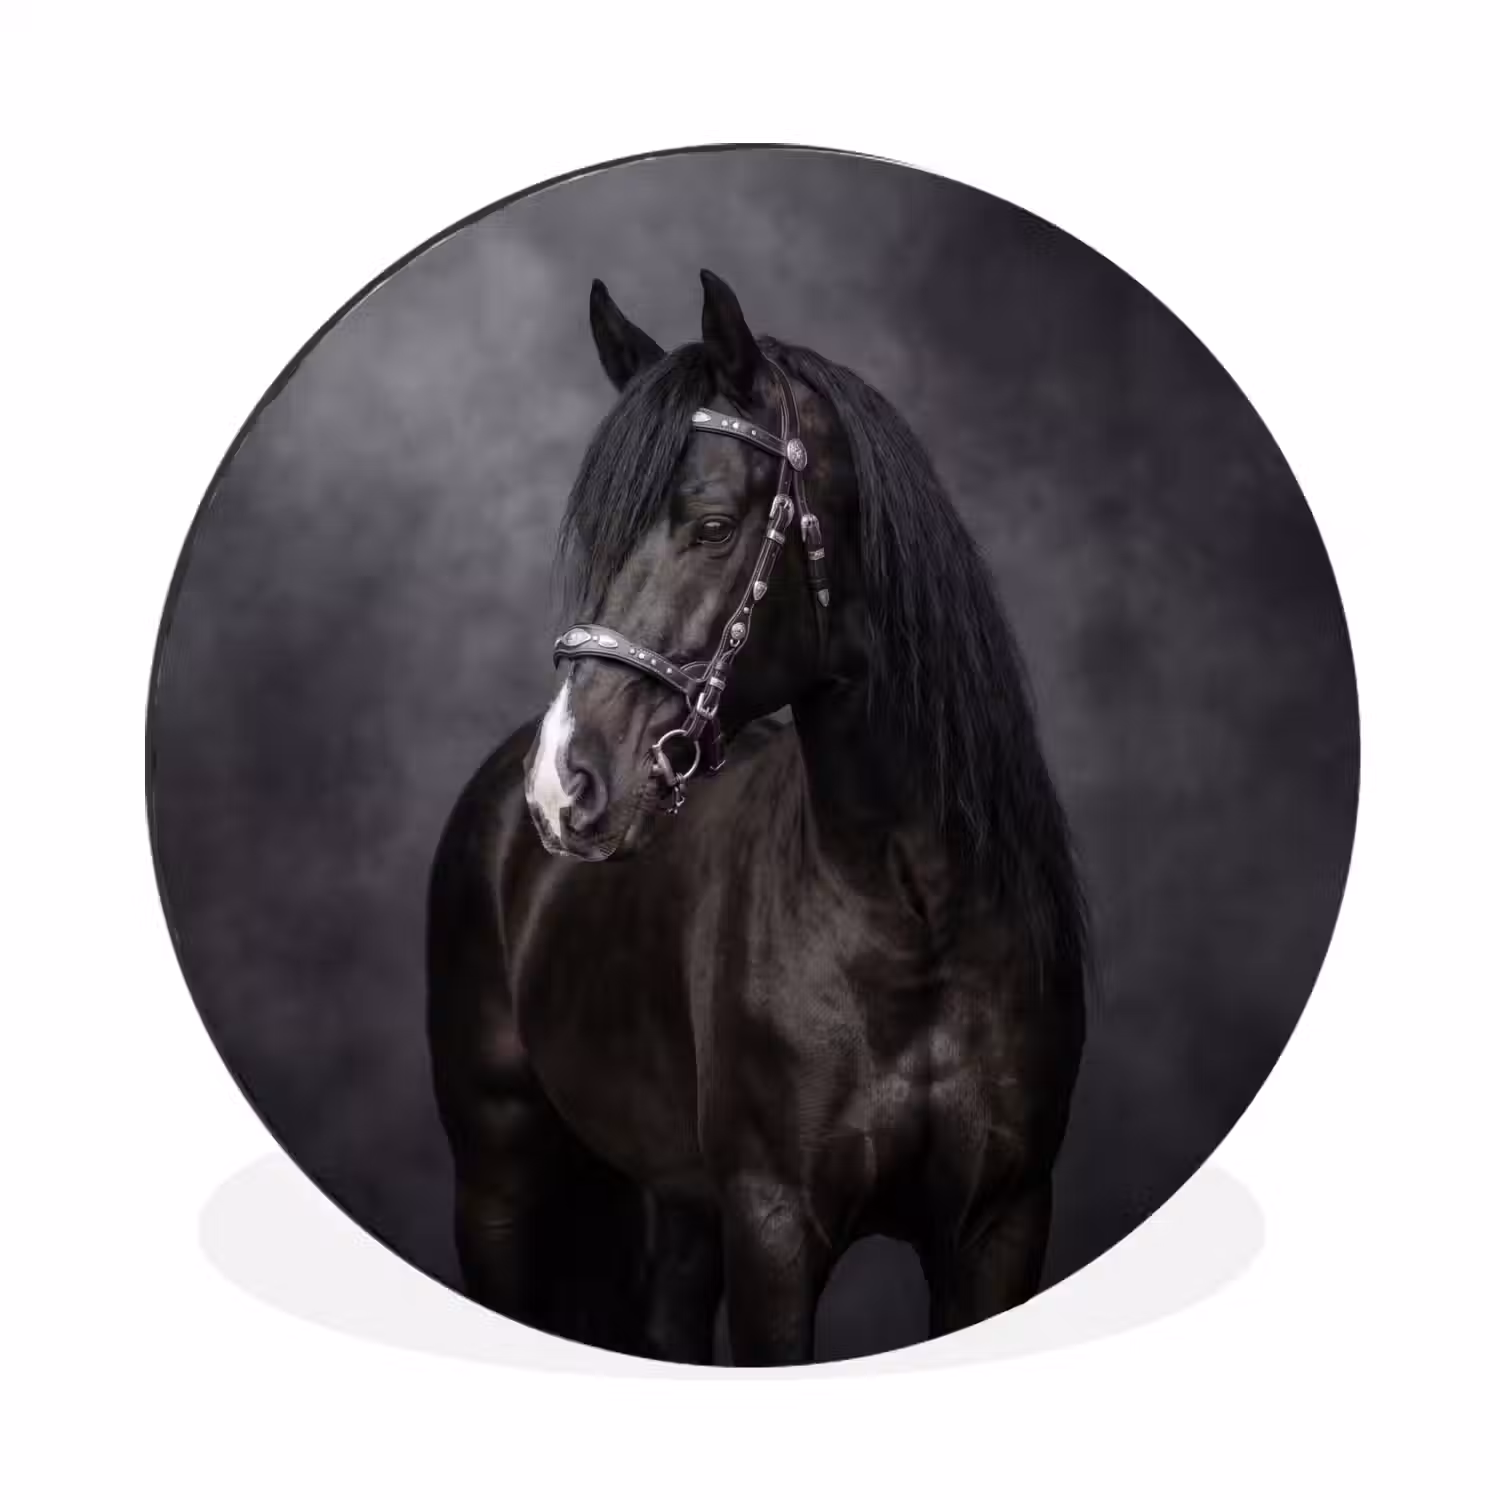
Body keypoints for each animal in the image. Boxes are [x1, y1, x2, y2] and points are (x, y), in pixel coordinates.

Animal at [426, 268, 1088, 1365]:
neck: (914, 912)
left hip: (680, 1204)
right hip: (498, 1180)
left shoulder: (1000, 1222)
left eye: (711, 525)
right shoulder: (775, 1227)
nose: (565, 783)